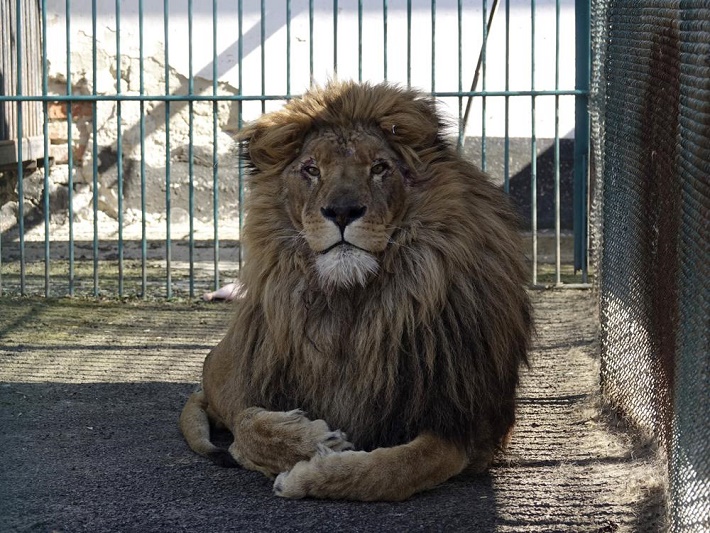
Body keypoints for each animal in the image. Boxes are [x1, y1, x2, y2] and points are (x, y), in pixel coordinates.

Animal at [179, 81, 536, 500]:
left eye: (380, 168)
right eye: (311, 169)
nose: (342, 211)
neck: (354, 303)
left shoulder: (466, 426)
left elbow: (393, 470)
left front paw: (308, 476)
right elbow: (247, 427)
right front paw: (313, 442)